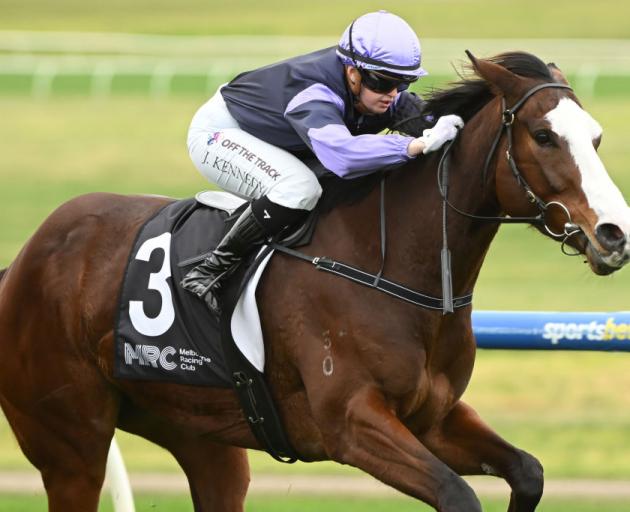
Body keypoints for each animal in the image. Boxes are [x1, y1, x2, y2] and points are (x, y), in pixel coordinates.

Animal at [1, 53, 630, 512]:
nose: (613, 233)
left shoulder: (433, 416)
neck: (387, 264)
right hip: (72, 447)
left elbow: (528, 471)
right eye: (544, 136)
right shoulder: (350, 424)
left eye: (597, 137)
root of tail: (23, 262)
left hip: (198, 433)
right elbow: (457, 495)